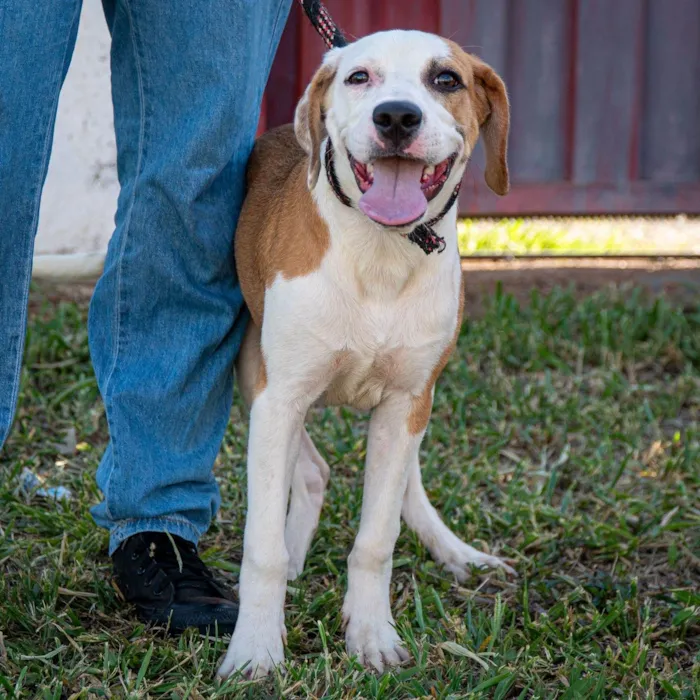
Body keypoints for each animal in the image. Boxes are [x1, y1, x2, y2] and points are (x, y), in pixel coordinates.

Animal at [219, 30, 516, 680]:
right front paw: (255, 648)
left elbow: (377, 539)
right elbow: (261, 547)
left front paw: (372, 634)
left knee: (388, 481)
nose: (397, 117)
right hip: (253, 374)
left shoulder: (407, 401)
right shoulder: (278, 398)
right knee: (311, 471)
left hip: (411, 406)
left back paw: (453, 550)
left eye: (447, 80)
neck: (381, 251)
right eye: (359, 77)